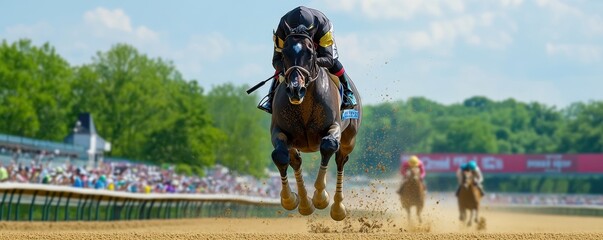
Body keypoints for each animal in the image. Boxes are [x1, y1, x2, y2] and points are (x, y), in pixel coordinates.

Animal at [270, 24, 364, 221]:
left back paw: (338, 208)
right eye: (284, 52)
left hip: (349, 139)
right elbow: (280, 155)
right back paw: (305, 204)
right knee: (295, 161)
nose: (295, 89)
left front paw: (321, 197)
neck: (303, 105)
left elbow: (328, 145)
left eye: (310, 52)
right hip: (294, 144)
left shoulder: (334, 127)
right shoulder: (278, 131)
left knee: (340, 160)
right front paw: (289, 199)